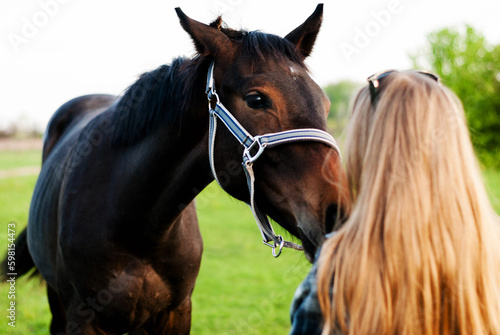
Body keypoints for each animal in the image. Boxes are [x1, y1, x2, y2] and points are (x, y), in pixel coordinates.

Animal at [2, 3, 348, 334]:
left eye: (325, 103)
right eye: (256, 99)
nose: (338, 214)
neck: (136, 224)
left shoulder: (176, 313)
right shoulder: (82, 318)